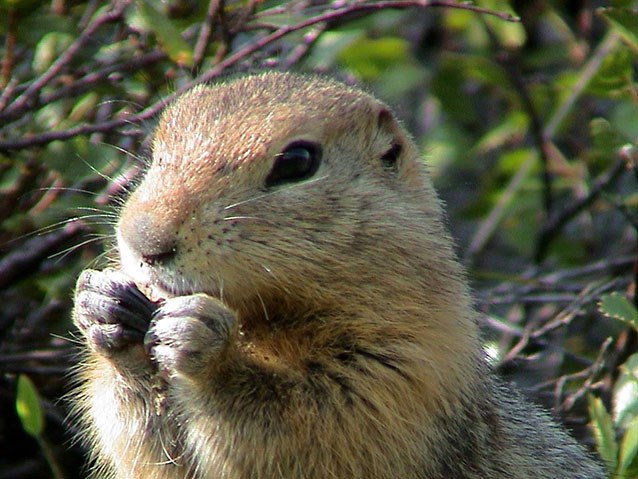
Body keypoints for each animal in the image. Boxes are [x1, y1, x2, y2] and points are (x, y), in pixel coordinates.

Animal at [72, 72, 608, 479]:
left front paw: (204, 343)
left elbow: (312, 428)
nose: (144, 241)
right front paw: (103, 306)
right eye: (158, 148)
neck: (266, 315)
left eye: (297, 161)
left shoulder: (403, 374)